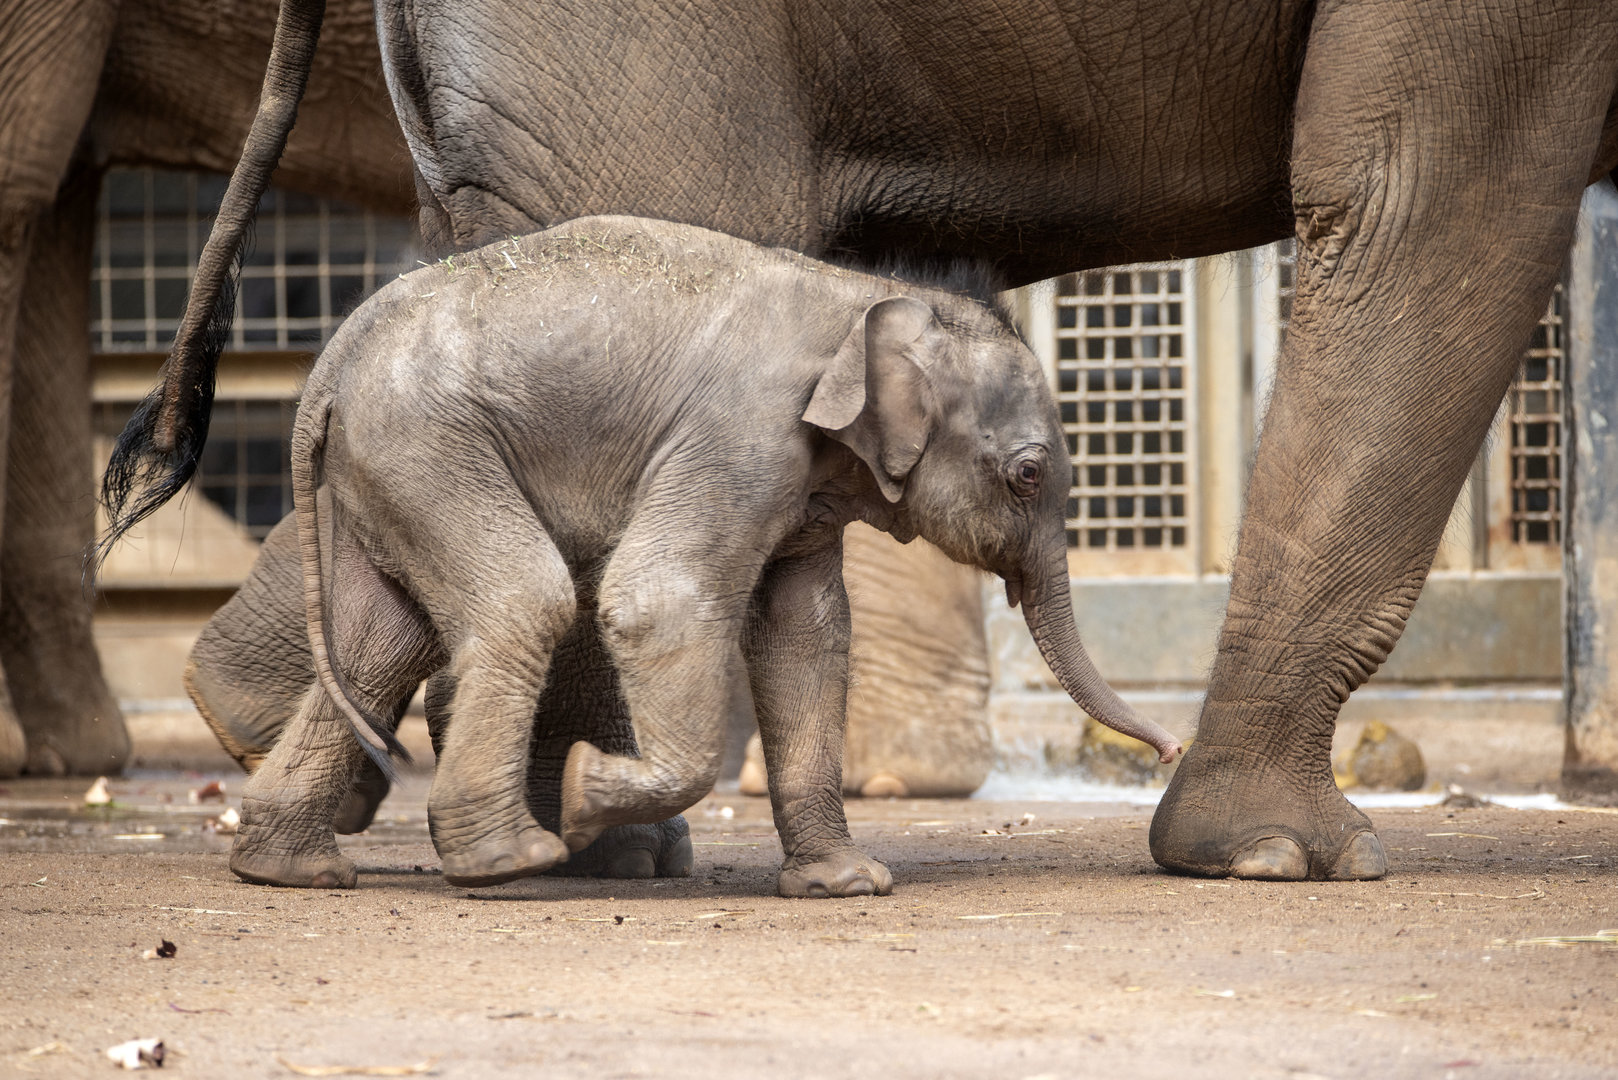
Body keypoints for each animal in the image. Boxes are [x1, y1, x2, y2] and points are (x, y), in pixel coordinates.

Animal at [231, 216, 1179, 893]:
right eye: (1029, 475)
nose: (1167, 753)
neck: (867, 294)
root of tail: (327, 369)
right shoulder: (743, 435)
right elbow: (661, 600)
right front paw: (584, 793)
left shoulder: (803, 485)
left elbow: (806, 634)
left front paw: (847, 885)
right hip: (426, 442)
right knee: (522, 601)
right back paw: (512, 861)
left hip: (385, 468)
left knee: (379, 643)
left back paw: (290, 870)